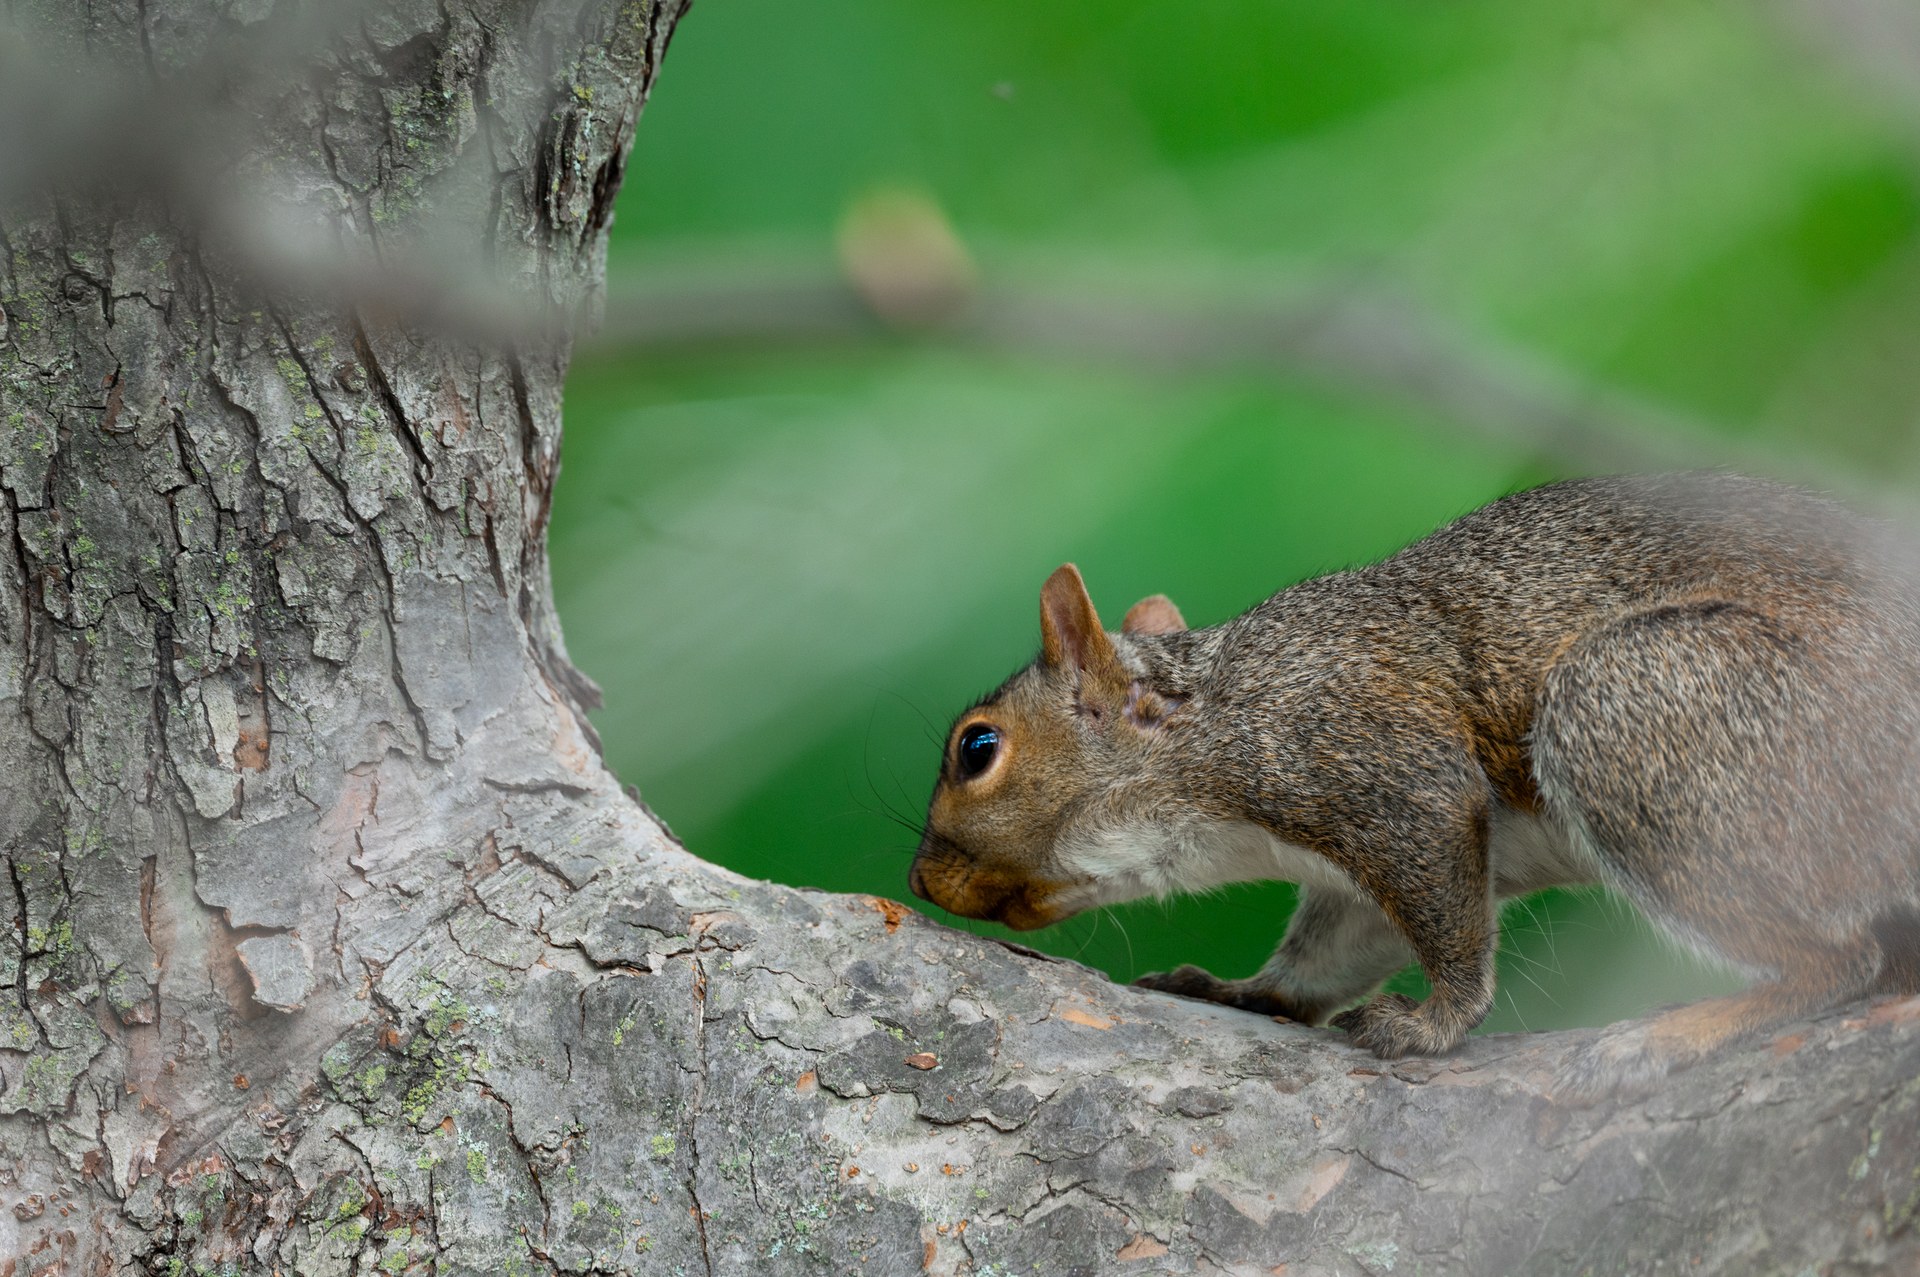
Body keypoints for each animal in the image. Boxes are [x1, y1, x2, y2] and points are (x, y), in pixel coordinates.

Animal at [907, 472, 1920, 1097]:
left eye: (977, 747)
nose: (919, 879)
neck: (1216, 723)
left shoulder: (1384, 768)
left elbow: (1446, 919)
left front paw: (1434, 1024)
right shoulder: (1347, 865)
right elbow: (1334, 949)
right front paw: (1245, 990)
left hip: (1641, 709)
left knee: (1841, 961)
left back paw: (1673, 1032)